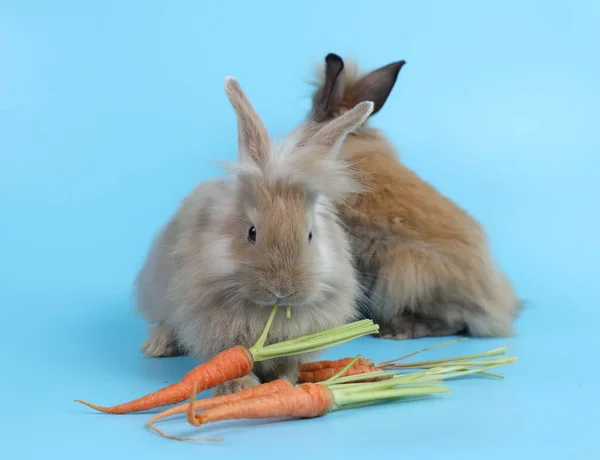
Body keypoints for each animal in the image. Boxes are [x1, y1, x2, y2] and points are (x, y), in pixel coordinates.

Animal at [135, 76, 376, 396]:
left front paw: (285, 380)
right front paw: (240, 387)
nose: (282, 290)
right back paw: (156, 346)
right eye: (252, 233)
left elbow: (287, 362)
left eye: (310, 235)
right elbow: (230, 359)